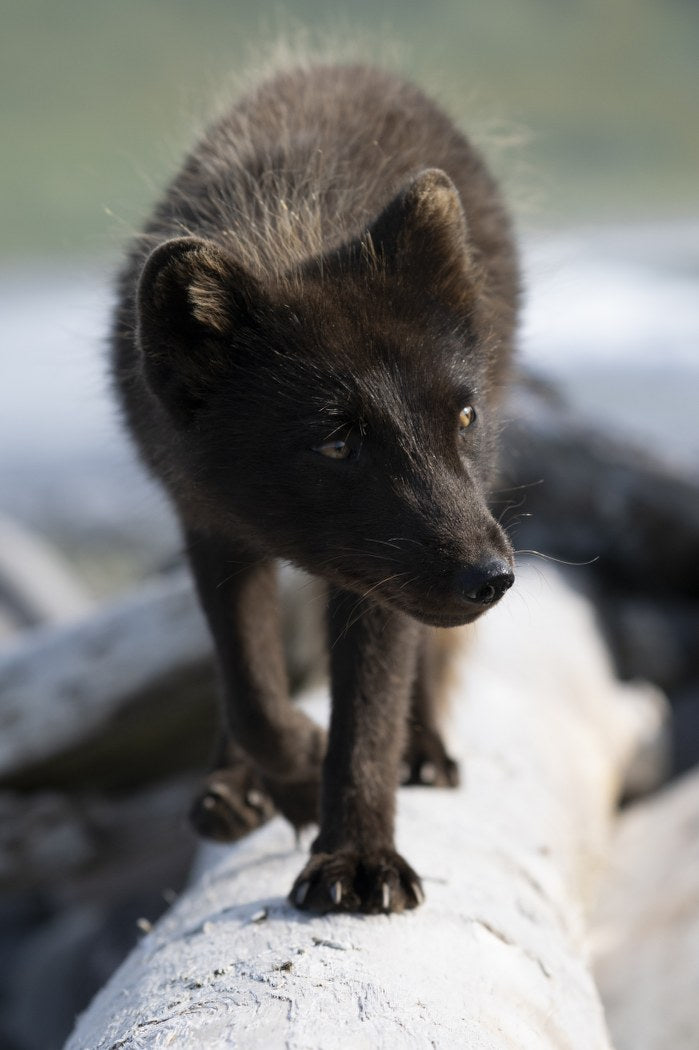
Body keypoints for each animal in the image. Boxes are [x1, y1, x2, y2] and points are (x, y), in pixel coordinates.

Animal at [112, 61, 519, 914]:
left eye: (463, 416)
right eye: (337, 442)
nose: (494, 580)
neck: (297, 226)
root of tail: (349, 64)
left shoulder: (378, 576)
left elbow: (367, 711)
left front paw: (358, 859)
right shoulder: (209, 525)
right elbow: (251, 693)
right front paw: (296, 772)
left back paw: (422, 749)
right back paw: (237, 786)